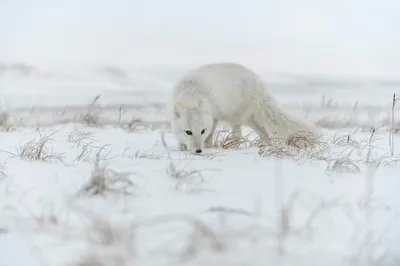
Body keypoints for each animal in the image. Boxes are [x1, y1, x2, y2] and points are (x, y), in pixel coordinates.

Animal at [169, 62, 318, 154]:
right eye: (188, 132)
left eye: (202, 131)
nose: (198, 151)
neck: (192, 93)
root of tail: (259, 83)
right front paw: (182, 149)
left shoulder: (215, 117)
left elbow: (210, 136)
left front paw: (208, 146)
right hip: (250, 120)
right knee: (264, 133)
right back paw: (265, 146)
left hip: (236, 118)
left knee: (238, 135)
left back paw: (234, 148)